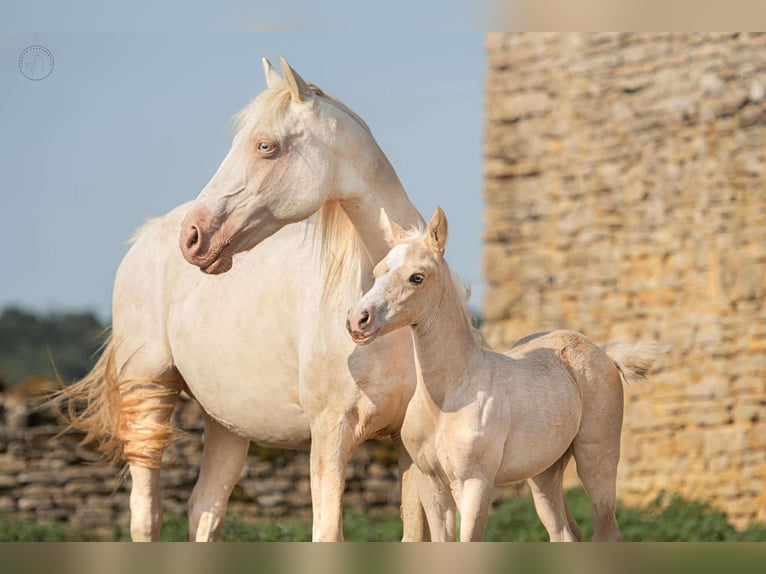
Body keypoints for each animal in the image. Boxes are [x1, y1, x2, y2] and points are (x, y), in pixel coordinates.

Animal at [57, 57, 428, 541]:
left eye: (265, 145)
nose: (193, 237)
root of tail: (149, 234)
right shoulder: (331, 436)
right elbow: (327, 531)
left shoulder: (408, 442)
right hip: (149, 391)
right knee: (146, 514)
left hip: (225, 422)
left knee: (205, 510)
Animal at [346, 206, 665, 541]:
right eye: (378, 271)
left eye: (416, 277)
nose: (357, 320)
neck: (446, 400)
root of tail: (603, 353)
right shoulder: (434, 486)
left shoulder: (475, 484)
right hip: (544, 472)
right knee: (564, 533)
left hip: (597, 459)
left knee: (606, 530)